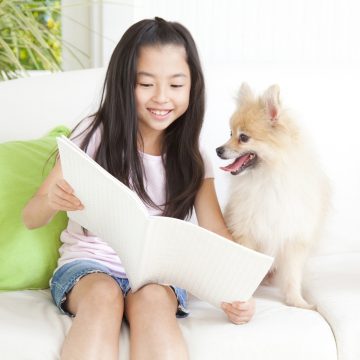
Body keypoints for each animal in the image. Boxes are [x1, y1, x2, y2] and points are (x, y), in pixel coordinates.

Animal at [215, 83, 330, 308]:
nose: (218, 150)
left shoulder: (294, 238)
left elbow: (293, 275)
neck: (267, 179)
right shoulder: (245, 233)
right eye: (230, 132)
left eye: (243, 137)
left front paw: (297, 302)